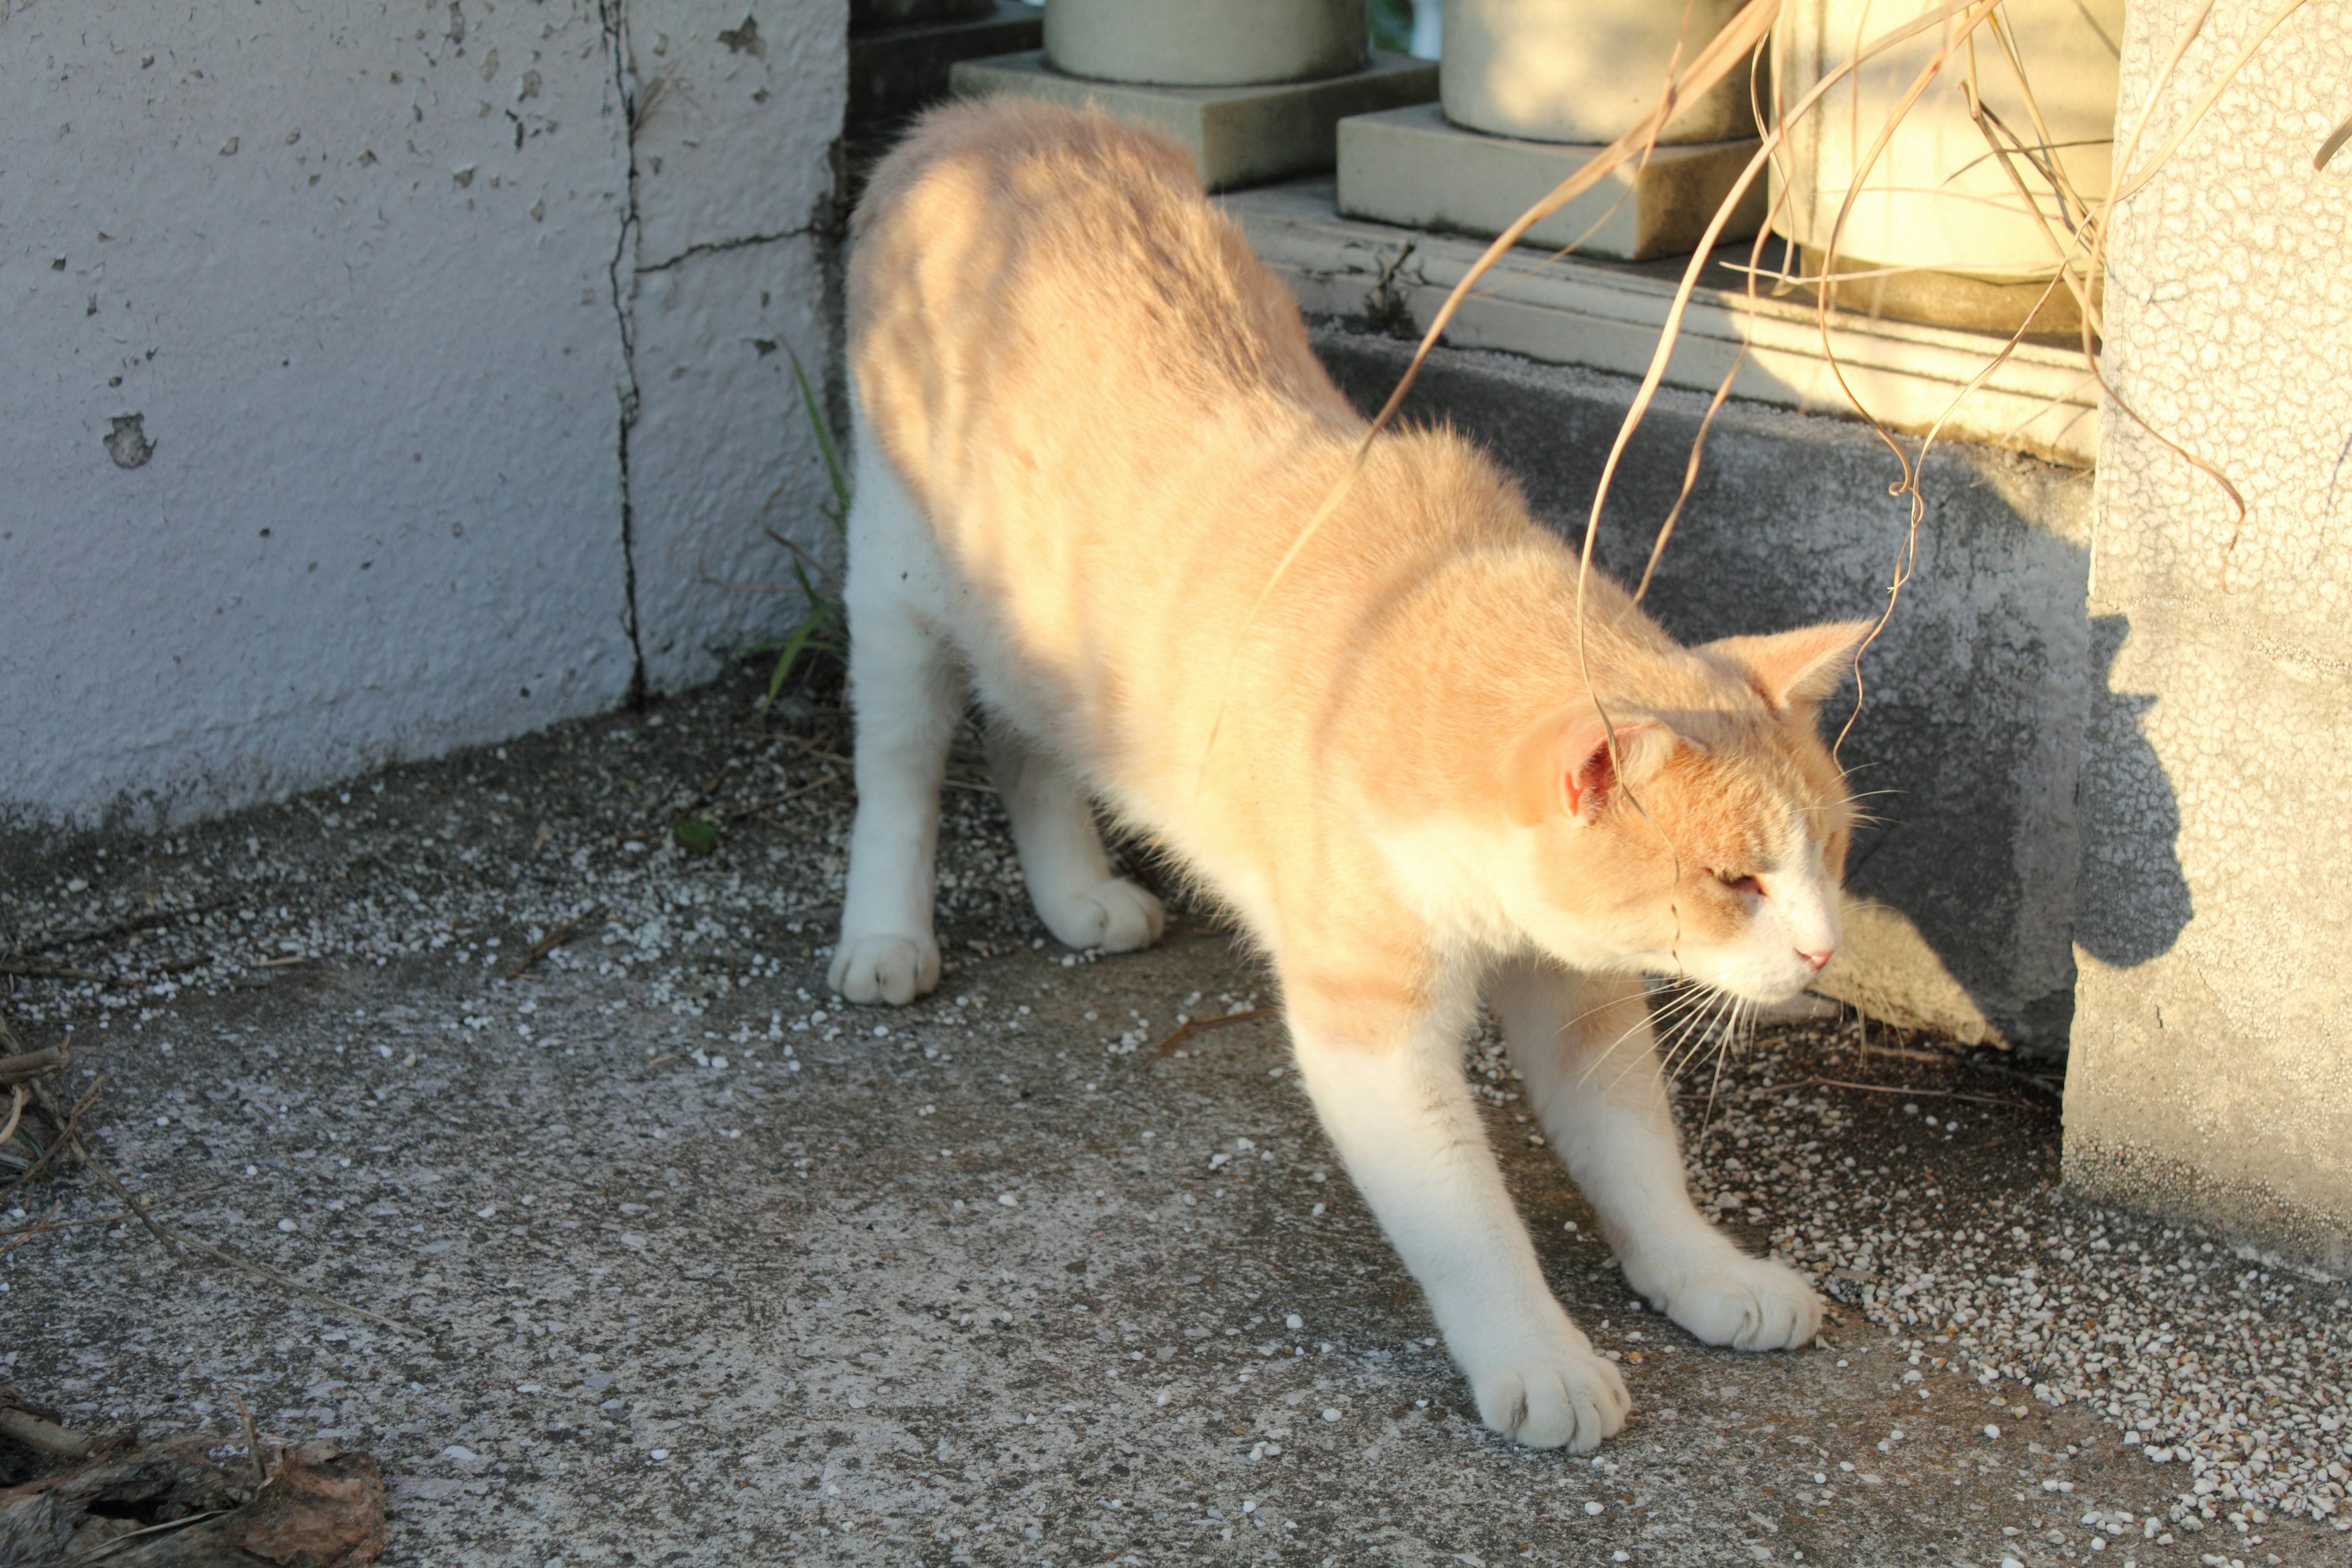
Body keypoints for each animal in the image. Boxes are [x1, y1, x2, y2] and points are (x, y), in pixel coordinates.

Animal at [827, 98, 1853, 1457]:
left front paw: (1704, 1273)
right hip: (899, 588)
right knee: (902, 765)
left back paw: (1077, 897)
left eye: (1830, 854)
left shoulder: (1578, 987)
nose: (1826, 948)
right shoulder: (1369, 1022)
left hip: (1048, 634)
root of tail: (986, 116)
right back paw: (886, 935)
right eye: (1738, 880)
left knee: (1030, 741)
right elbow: (1467, 1218)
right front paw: (1538, 1354)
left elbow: (1636, 1156)